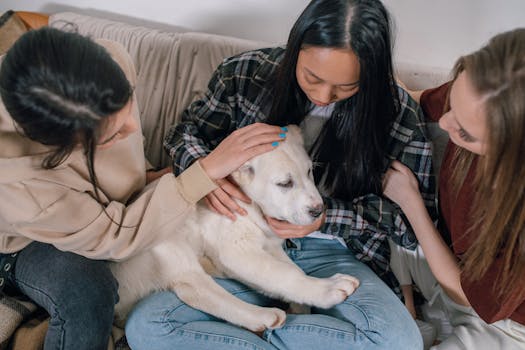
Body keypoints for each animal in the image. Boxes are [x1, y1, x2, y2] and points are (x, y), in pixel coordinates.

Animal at [108, 125, 358, 330]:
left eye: (309, 172)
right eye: (285, 183)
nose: (318, 211)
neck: (253, 208)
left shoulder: (270, 247)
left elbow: (290, 270)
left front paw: (301, 304)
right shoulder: (236, 251)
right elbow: (284, 274)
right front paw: (326, 290)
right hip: (169, 245)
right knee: (198, 291)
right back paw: (263, 316)